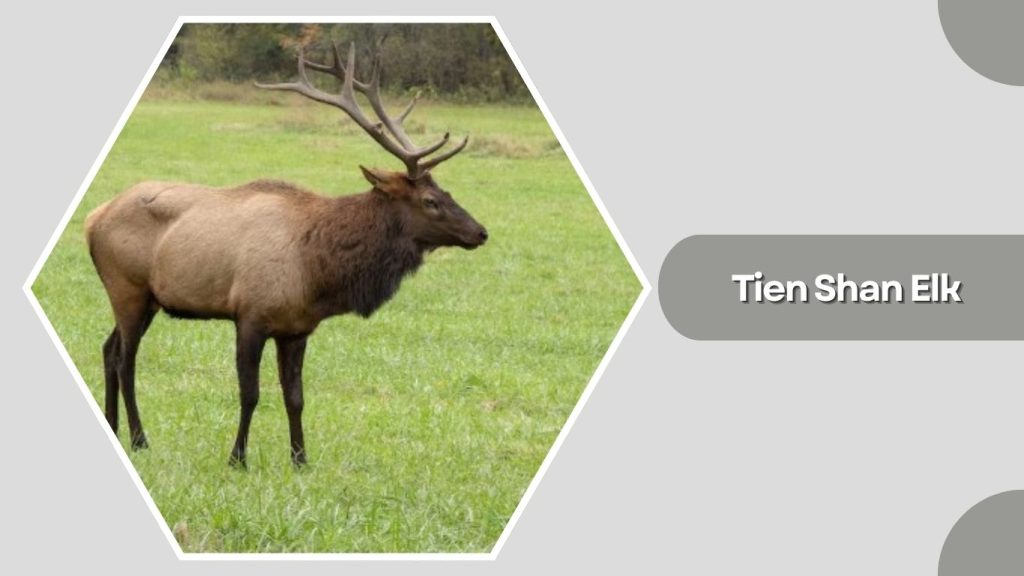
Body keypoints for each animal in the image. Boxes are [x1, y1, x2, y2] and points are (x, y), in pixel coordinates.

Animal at [85, 43, 488, 468]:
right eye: (430, 201)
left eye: (447, 192)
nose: (480, 232)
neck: (316, 272)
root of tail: (93, 219)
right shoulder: (249, 315)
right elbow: (250, 394)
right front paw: (237, 459)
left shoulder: (297, 328)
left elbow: (295, 398)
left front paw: (300, 460)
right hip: (127, 288)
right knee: (125, 360)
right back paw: (139, 438)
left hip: (148, 300)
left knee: (109, 348)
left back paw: (115, 428)